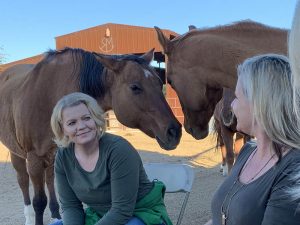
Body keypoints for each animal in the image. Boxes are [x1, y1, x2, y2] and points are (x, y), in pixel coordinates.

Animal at [0, 47, 180, 225]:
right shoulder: (34, 159)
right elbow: (39, 202)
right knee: (23, 181)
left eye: (159, 83)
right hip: (19, 154)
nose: (175, 131)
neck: (50, 96)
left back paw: (55, 214)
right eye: (135, 87)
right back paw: (29, 217)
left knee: (49, 180)